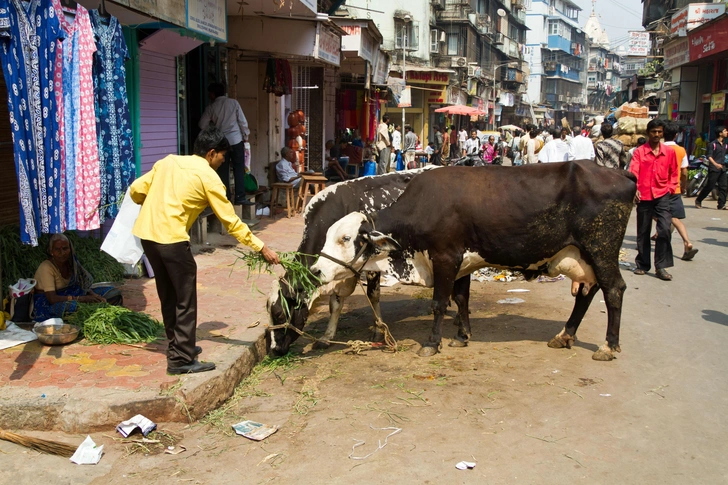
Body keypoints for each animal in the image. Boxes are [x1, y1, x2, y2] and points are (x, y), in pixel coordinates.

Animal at [268, 166, 478, 356]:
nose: (274, 350)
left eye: (279, 314)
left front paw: (378, 330)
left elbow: (372, 295)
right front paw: (326, 337)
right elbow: (335, 302)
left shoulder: (372, 263)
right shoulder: (339, 269)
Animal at [312, 162, 636, 360]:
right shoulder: (462, 263)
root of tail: (621, 174)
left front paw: (432, 343)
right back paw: (565, 335)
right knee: (588, 292)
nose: (315, 269)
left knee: (614, 290)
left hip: (601, 249)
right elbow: (461, 299)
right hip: (586, 256)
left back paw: (608, 345)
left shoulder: (445, 257)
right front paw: (461, 335)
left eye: (345, 238)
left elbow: (439, 303)